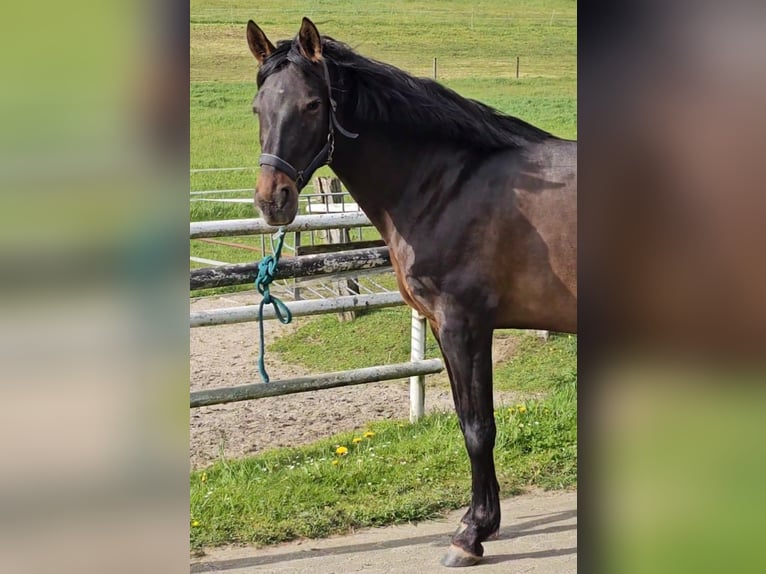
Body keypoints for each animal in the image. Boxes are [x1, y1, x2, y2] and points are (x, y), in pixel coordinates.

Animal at [246, 16, 576, 568]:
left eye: (312, 105)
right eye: (257, 108)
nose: (274, 201)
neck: (447, 182)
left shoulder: (464, 325)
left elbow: (478, 428)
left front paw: (471, 536)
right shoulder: (445, 329)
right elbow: (469, 419)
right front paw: (479, 522)